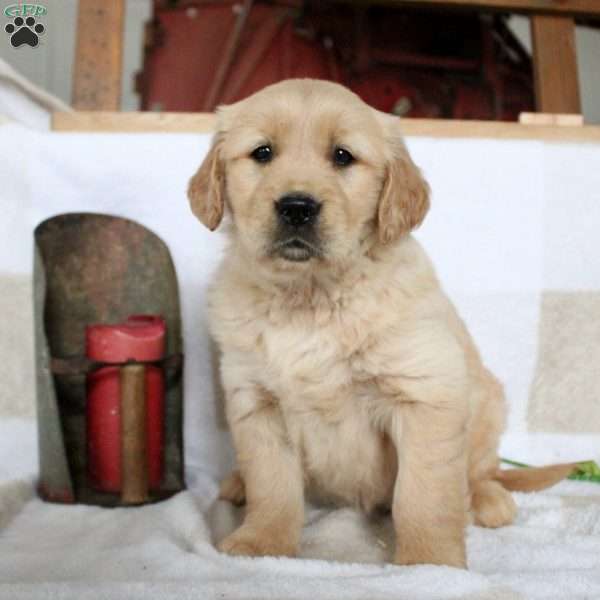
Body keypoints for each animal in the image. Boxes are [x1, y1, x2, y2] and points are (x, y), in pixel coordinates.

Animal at [188, 79, 572, 568]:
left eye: (343, 156)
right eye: (262, 152)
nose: (297, 207)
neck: (311, 297)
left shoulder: (425, 394)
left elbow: (424, 492)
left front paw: (430, 561)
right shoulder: (257, 401)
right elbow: (271, 484)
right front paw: (262, 544)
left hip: (487, 401)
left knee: (485, 470)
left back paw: (488, 500)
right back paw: (236, 484)